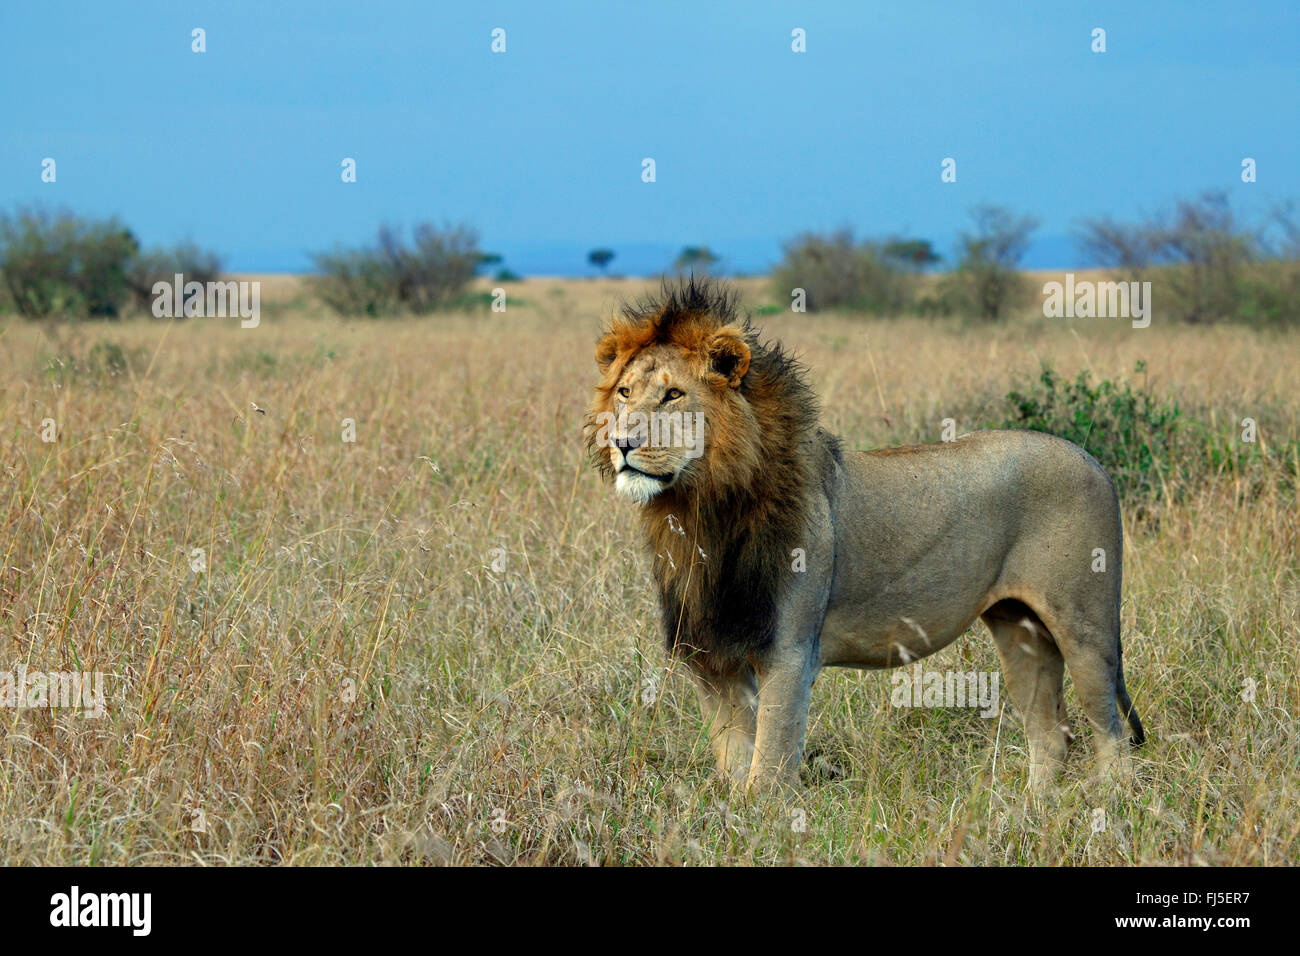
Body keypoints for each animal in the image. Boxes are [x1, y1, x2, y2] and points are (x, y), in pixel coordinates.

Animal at [584, 277, 1144, 792]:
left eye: (673, 395)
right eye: (624, 393)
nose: (622, 441)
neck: (699, 511)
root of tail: (1094, 461)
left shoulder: (789, 652)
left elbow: (767, 771)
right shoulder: (712, 659)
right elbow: (733, 765)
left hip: (1085, 626)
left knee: (1111, 736)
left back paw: (1105, 811)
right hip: (1019, 627)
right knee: (1050, 735)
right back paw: (1028, 814)